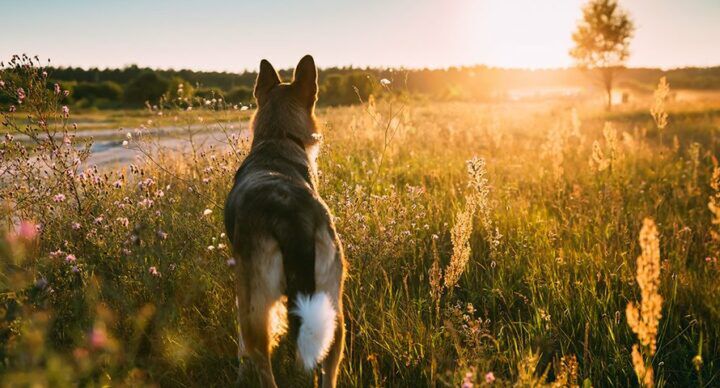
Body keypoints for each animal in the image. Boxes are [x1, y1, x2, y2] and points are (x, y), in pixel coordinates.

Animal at [225, 55, 348, 388]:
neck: (278, 138)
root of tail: (294, 220)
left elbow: (240, 347)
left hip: (256, 310)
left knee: (261, 360)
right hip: (332, 312)